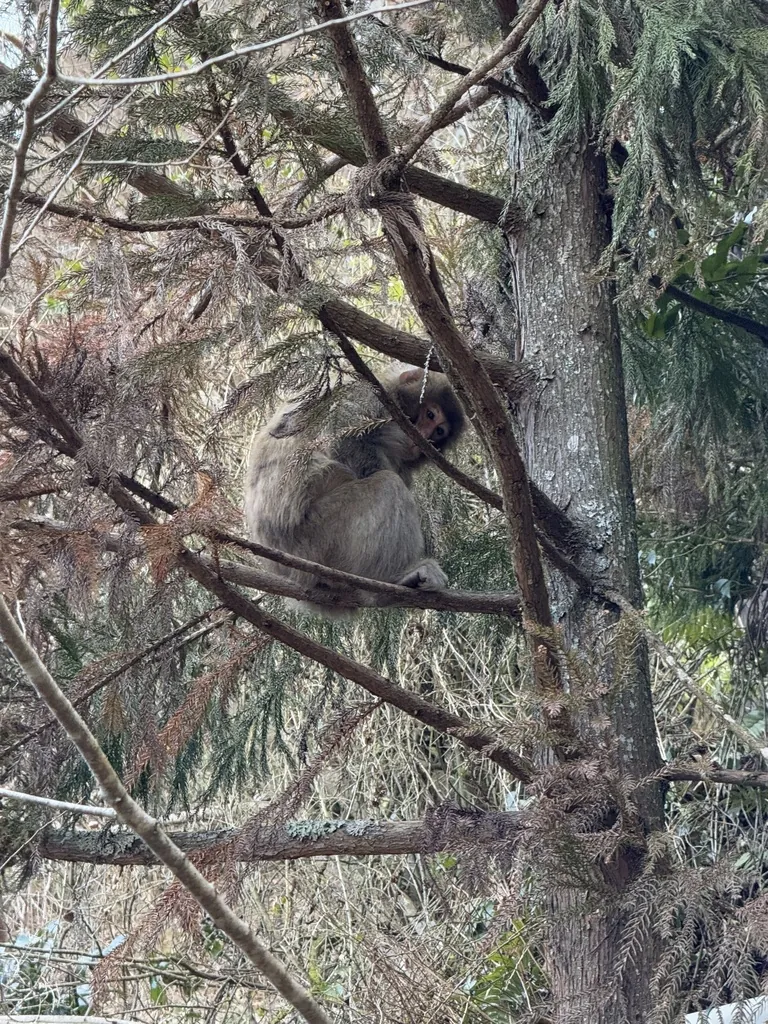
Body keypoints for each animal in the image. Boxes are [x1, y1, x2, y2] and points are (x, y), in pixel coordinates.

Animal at [244, 367, 465, 613]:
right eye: (430, 415)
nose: (421, 441)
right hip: (316, 540)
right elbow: (347, 440)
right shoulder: (368, 395)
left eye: (438, 433)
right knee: (389, 485)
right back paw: (392, 584)